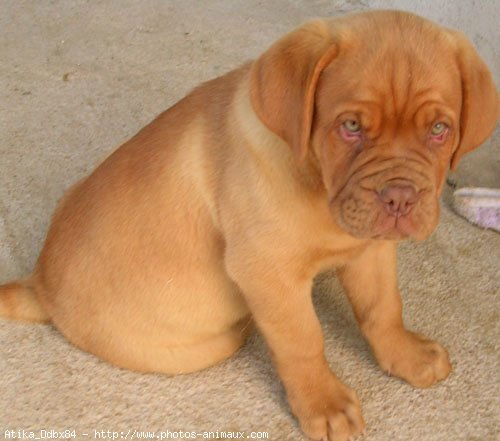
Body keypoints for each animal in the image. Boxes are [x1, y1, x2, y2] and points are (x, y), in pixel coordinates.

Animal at [0, 9, 500, 440]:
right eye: (351, 126)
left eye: (439, 130)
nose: (399, 197)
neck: (318, 187)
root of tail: (39, 283)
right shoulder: (268, 274)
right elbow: (303, 340)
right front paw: (324, 404)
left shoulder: (371, 249)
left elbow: (383, 309)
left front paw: (405, 355)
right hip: (205, 344)